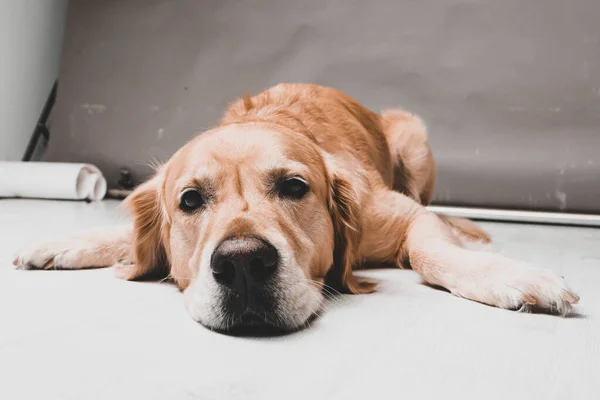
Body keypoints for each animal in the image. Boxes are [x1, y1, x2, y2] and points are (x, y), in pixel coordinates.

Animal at [12, 83, 576, 332]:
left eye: (295, 187)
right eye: (190, 200)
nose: (241, 264)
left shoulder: (401, 215)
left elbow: (428, 248)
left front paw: (508, 275)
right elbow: (128, 238)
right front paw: (68, 242)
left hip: (412, 137)